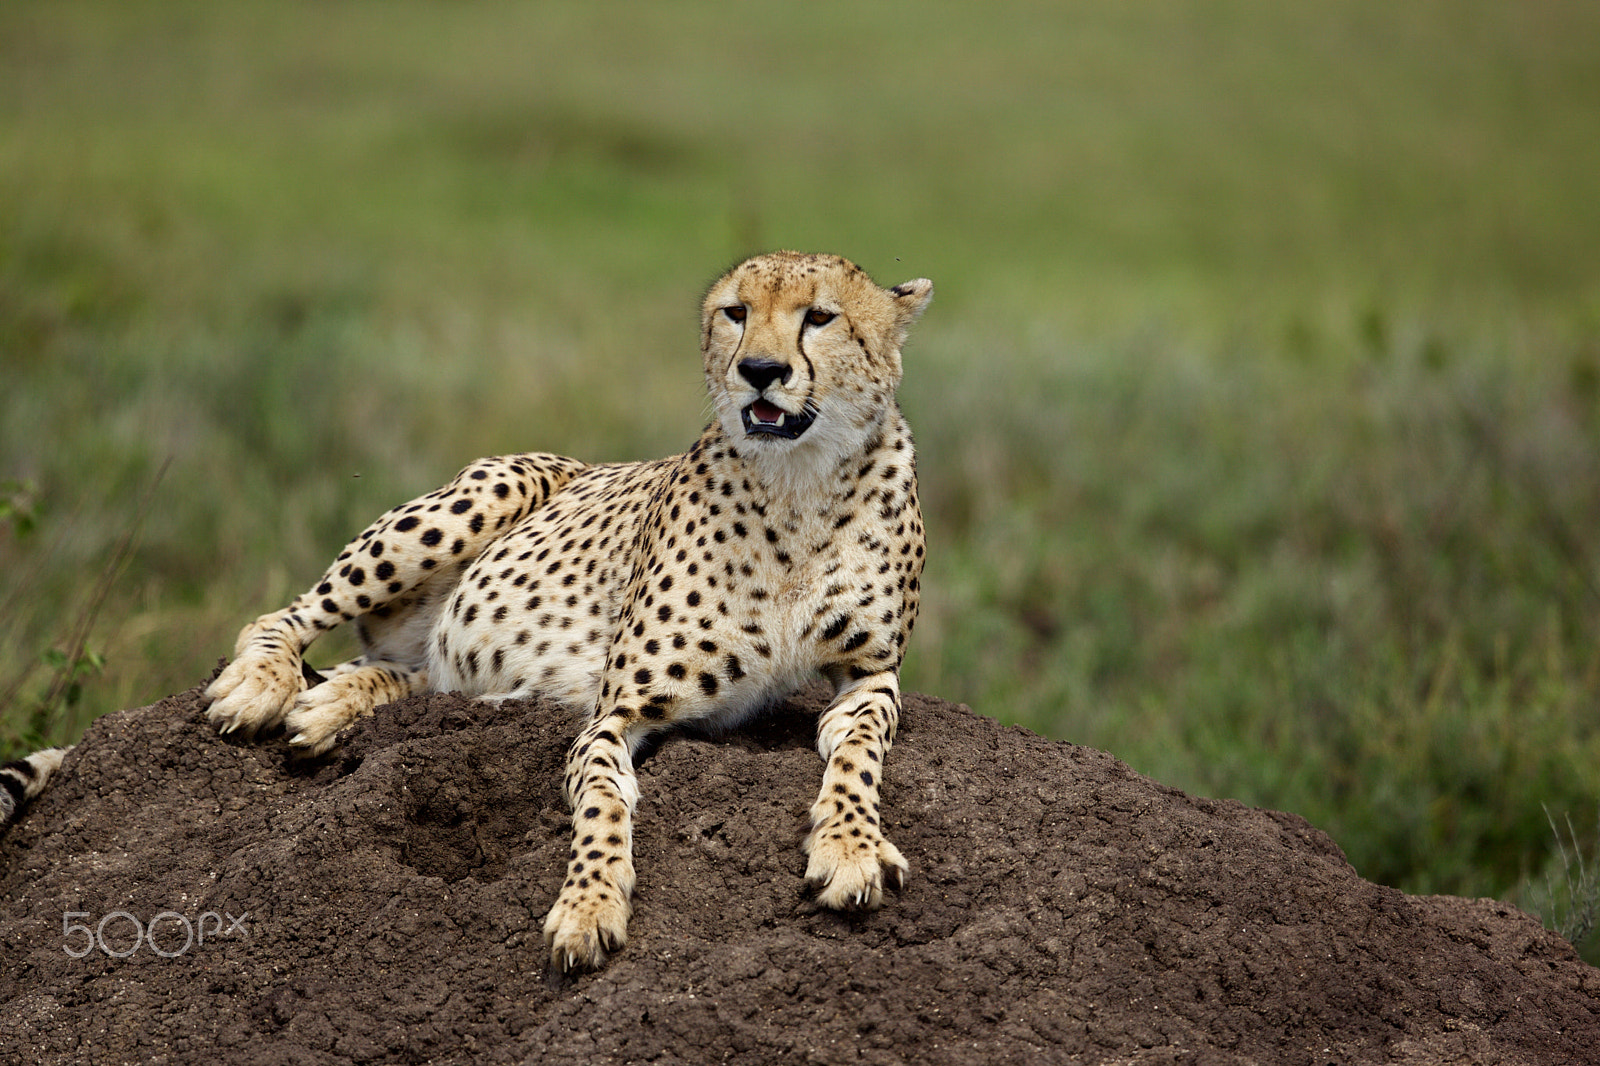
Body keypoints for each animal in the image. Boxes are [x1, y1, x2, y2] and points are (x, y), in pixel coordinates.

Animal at [3, 251, 933, 973]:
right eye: (736, 313)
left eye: (819, 318)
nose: (759, 372)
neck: (799, 485)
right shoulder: (616, 712)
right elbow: (603, 807)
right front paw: (590, 907)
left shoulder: (867, 676)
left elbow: (858, 758)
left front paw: (849, 850)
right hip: (484, 492)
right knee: (283, 619)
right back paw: (262, 686)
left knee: (408, 673)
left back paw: (328, 706)